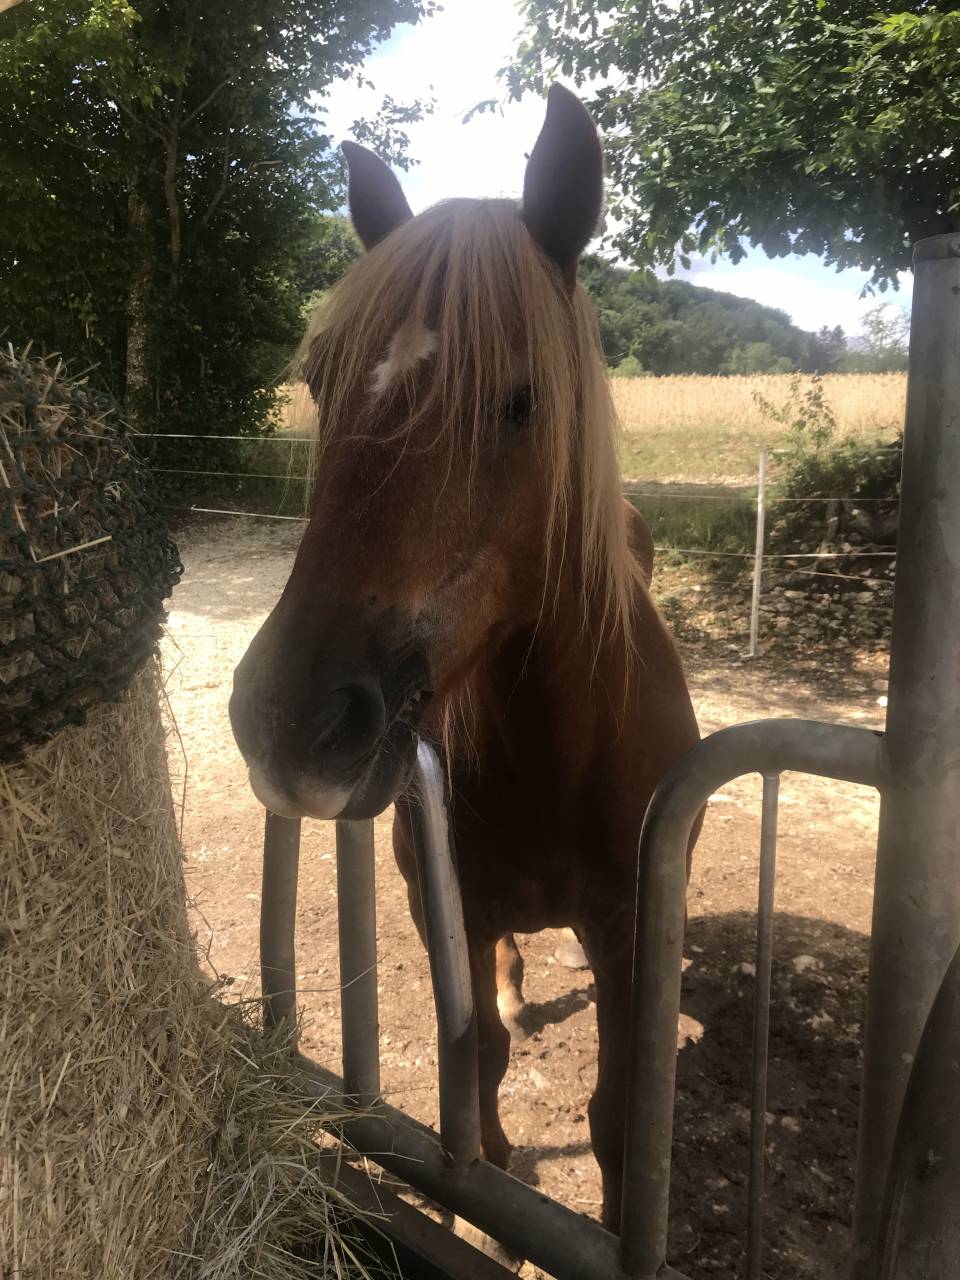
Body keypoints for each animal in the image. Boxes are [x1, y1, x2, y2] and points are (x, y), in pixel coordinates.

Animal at [230, 84, 700, 1236]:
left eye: (519, 402)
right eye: (322, 382)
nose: (291, 720)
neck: (556, 756)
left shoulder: (627, 934)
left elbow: (615, 1120)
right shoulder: (447, 907)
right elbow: (474, 1086)